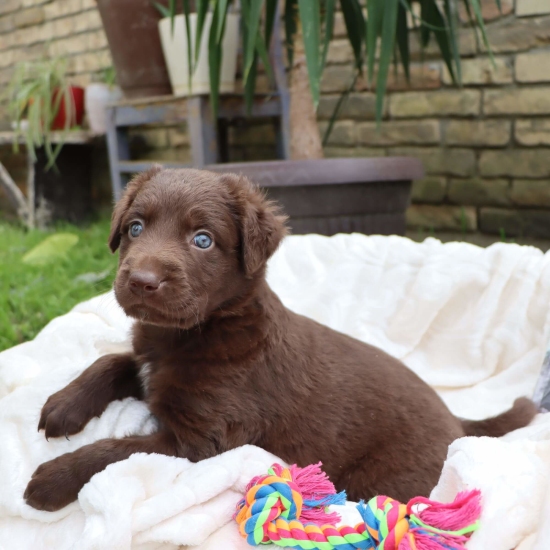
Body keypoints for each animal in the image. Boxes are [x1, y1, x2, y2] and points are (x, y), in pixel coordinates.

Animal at [23, 168, 536, 512]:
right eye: (135, 227)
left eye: (203, 240)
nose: (142, 281)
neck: (189, 334)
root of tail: (458, 422)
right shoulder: (152, 362)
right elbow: (112, 361)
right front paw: (62, 405)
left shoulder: (201, 441)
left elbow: (120, 451)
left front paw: (52, 479)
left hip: (382, 478)